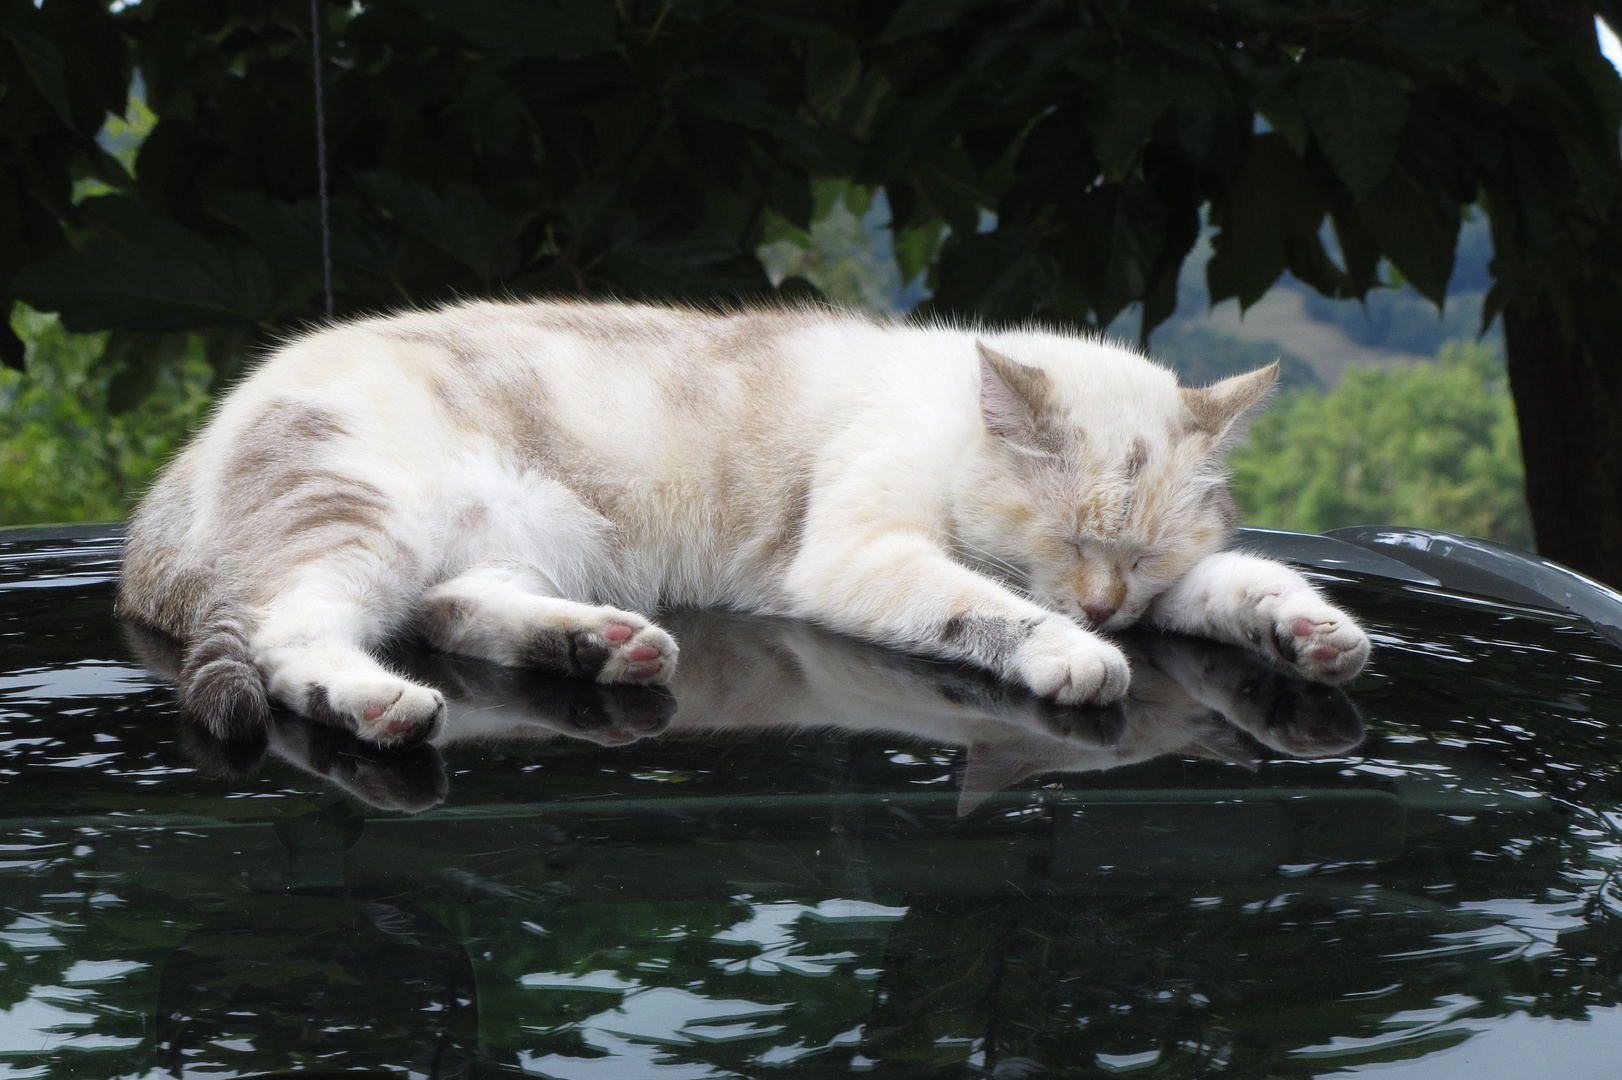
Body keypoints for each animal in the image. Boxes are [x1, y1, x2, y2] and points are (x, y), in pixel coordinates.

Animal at [120, 298, 1375, 745]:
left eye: (1142, 555)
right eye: (1067, 542)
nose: (1107, 609)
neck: (945, 423)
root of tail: (167, 490)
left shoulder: (1173, 587)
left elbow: (1243, 586)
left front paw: (1312, 636)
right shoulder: (861, 557)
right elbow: (989, 608)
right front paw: (1072, 653)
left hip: (520, 543)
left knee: (452, 610)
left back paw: (599, 648)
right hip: (362, 521)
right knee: (294, 636)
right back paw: (376, 703)